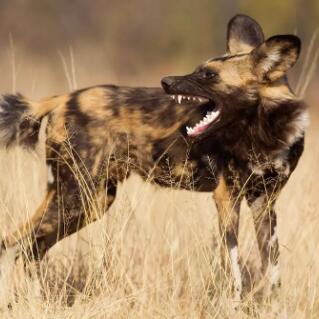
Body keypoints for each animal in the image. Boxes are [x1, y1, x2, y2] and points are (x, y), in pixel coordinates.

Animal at [0, 13, 310, 302]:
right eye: (199, 70)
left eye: (209, 75)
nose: (166, 81)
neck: (264, 131)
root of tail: (61, 98)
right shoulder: (227, 198)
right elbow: (233, 270)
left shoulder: (264, 202)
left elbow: (272, 270)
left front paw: (272, 307)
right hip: (77, 198)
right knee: (18, 247)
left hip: (90, 202)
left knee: (27, 250)